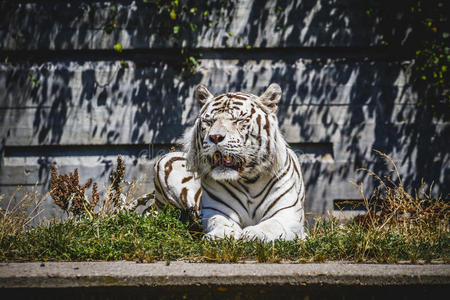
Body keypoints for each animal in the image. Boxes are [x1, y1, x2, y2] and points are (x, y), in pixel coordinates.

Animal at [155, 82, 306, 241]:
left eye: (238, 120)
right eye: (209, 122)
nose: (215, 137)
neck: (249, 181)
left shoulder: (288, 214)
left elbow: (272, 225)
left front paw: (253, 233)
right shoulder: (217, 210)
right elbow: (219, 222)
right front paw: (220, 235)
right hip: (163, 162)